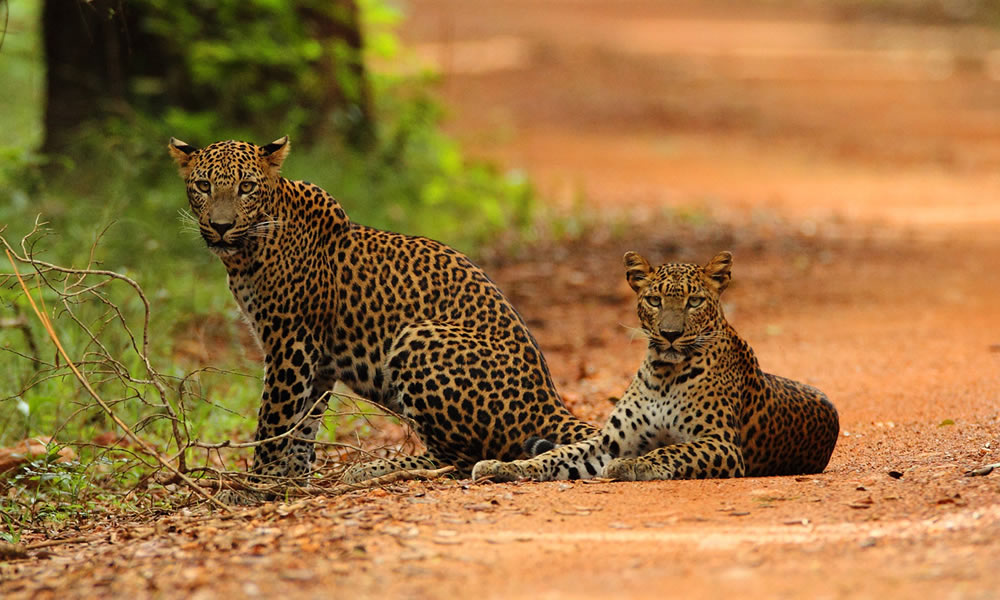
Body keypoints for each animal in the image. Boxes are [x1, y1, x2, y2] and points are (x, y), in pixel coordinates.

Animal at [168, 135, 596, 488]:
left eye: (246, 187)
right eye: (203, 186)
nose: (221, 226)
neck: (247, 252)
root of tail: (549, 401)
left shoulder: (291, 345)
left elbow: (274, 421)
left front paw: (254, 486)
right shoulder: (317, 362)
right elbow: (302, 426)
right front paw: (291, 480)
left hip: (419, 337)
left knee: (460, 460)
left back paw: (373, 469)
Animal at [472, 250, 840, 482]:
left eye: (695, 301)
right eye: (654, 300)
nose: (670, 334)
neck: (665, 372)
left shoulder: (721, 443)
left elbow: (671, 451)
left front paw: (632, 465)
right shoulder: (608, 442)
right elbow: (554, 456)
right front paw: (503, 467)